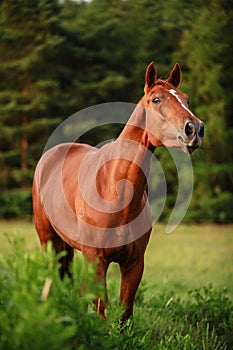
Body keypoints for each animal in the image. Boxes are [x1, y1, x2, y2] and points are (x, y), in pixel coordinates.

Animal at [32, 62, 204, 322]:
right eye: (156, 99)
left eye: (186, 99)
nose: (194, 129)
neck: (115, 190)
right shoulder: (96, 260)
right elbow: (102, 310)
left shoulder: (134, 264)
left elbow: (124, 314)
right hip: (48, 241)